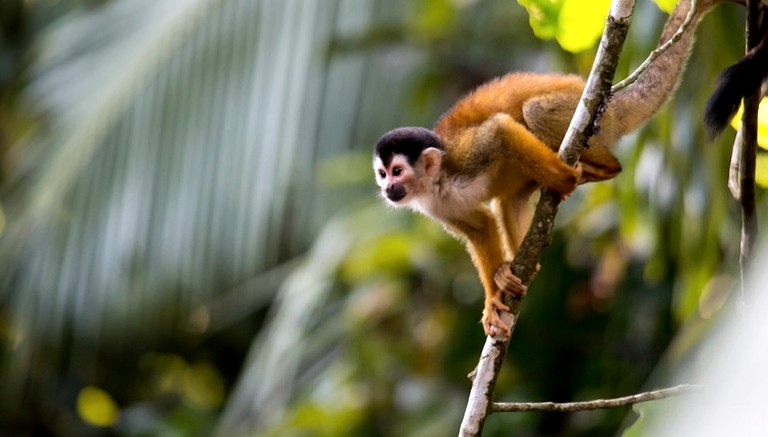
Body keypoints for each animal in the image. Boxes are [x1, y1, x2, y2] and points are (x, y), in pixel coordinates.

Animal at [374, 0, 732, 336]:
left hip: (585, 113)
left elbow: (499, 130)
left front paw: (567, 177)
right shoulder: (435, 207)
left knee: (535, 111)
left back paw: (599, 168)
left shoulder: (465, 155)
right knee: (508, 202)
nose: (388, 189)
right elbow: (480, 227)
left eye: (397, 171)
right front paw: (494, 296)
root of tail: (613, 102)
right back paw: (518, 268)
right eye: (382, 173)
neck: (435, 181)